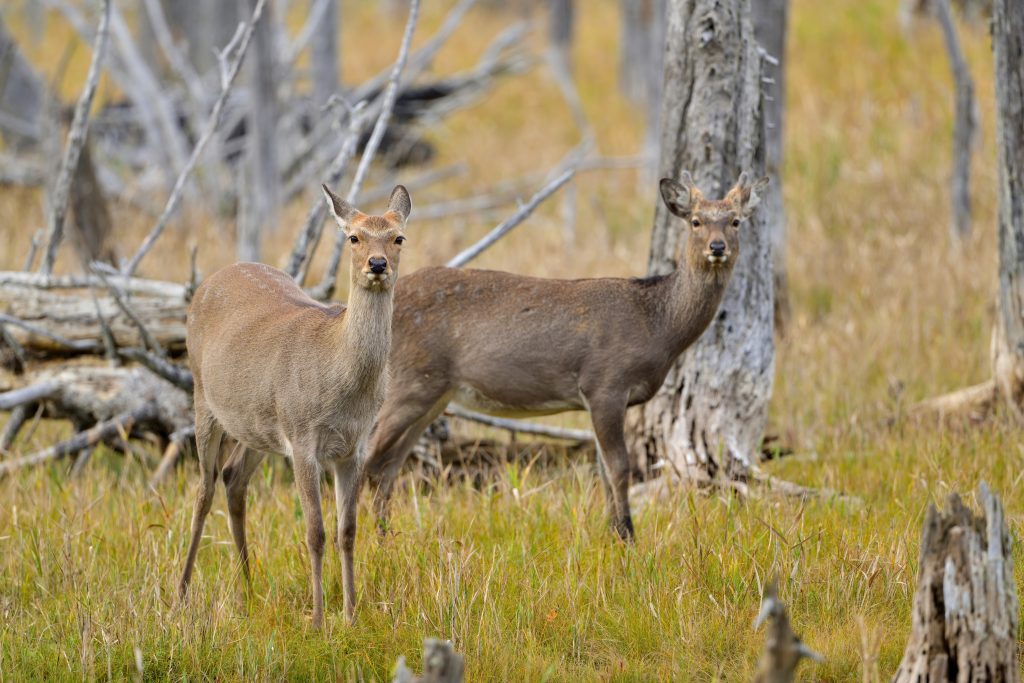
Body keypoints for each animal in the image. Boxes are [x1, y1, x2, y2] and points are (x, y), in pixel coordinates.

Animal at [179, 183, 411, 630]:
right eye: (353, 237)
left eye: (398, 238)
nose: (376, 265)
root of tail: (207, 281)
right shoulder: (304, 439)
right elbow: (315, 532)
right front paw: (318, 620)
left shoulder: (353, 447)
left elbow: (347, 531)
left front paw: (351, 615)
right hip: (203, 397)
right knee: (203, 489)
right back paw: (179, 592)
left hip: (258, 426)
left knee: (233, 478)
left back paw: (248, 589)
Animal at [364, 174, 765, 540]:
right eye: (695, 220)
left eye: (735, 221)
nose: (717, 247)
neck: (657, 325)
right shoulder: (605, 383)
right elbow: (619, 468)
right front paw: (628, 536)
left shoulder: (598, 398)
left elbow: (604, 470)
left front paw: (613, 534)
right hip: (410, 380)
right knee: (367, 454)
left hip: (436, 393)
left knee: (388, 465)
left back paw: (387, 535)